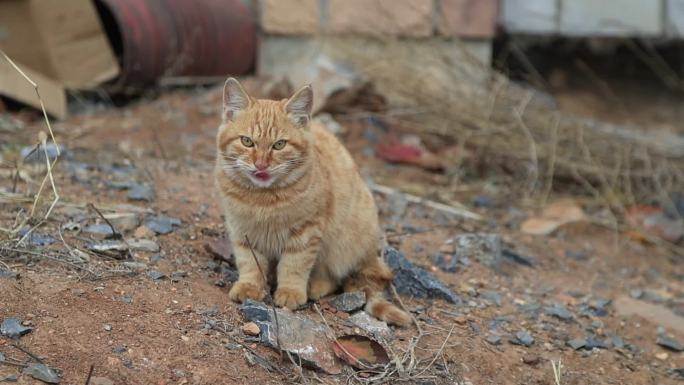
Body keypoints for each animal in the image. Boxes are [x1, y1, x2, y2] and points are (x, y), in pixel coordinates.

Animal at [214, 77, 408, 324]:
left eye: (279, 144)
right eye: (247, 141)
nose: (261, 165)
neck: (263, 199)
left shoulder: (306, 231)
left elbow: (294, 265)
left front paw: (290, 291)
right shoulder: (242, 230)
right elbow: (249, 261)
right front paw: (250, 286)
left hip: (341, 244)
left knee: (334, 276)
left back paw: (315, 286)